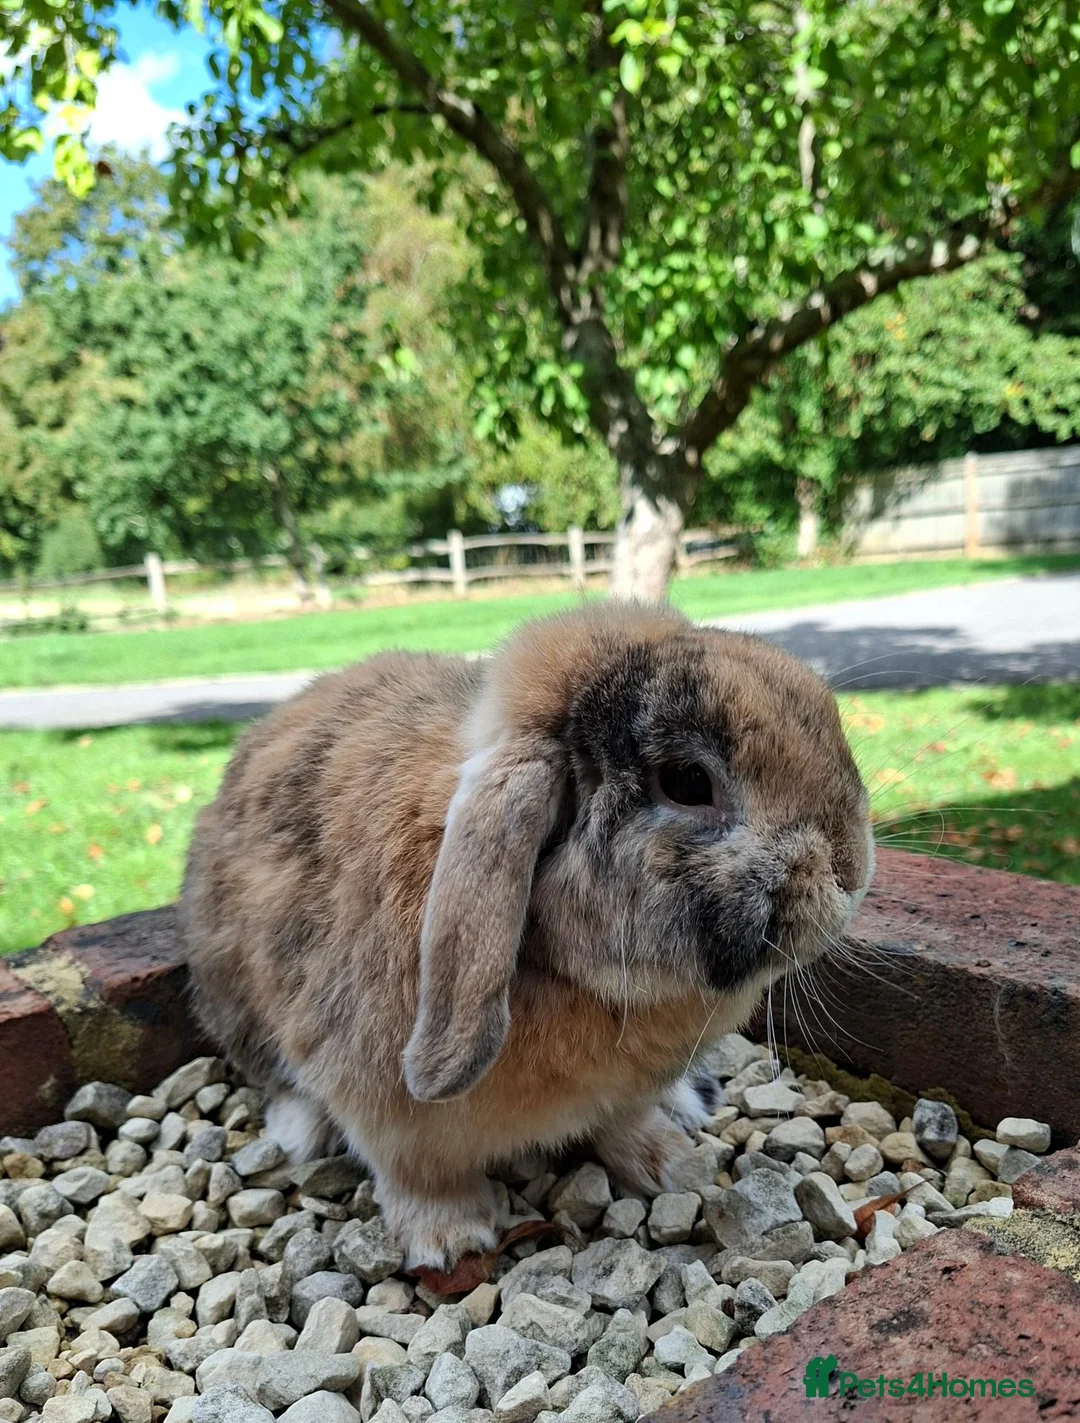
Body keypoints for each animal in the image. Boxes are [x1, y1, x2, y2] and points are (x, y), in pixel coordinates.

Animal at [181, 601, 873, 1267]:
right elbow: (417, 1175)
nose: (852, 871)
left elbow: (624, 1122)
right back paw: (301, 1131)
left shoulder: (622, 1094)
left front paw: (670, 1164)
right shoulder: (384, 1113)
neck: (576, 978)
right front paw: (450, 1239)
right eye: (686, 782)